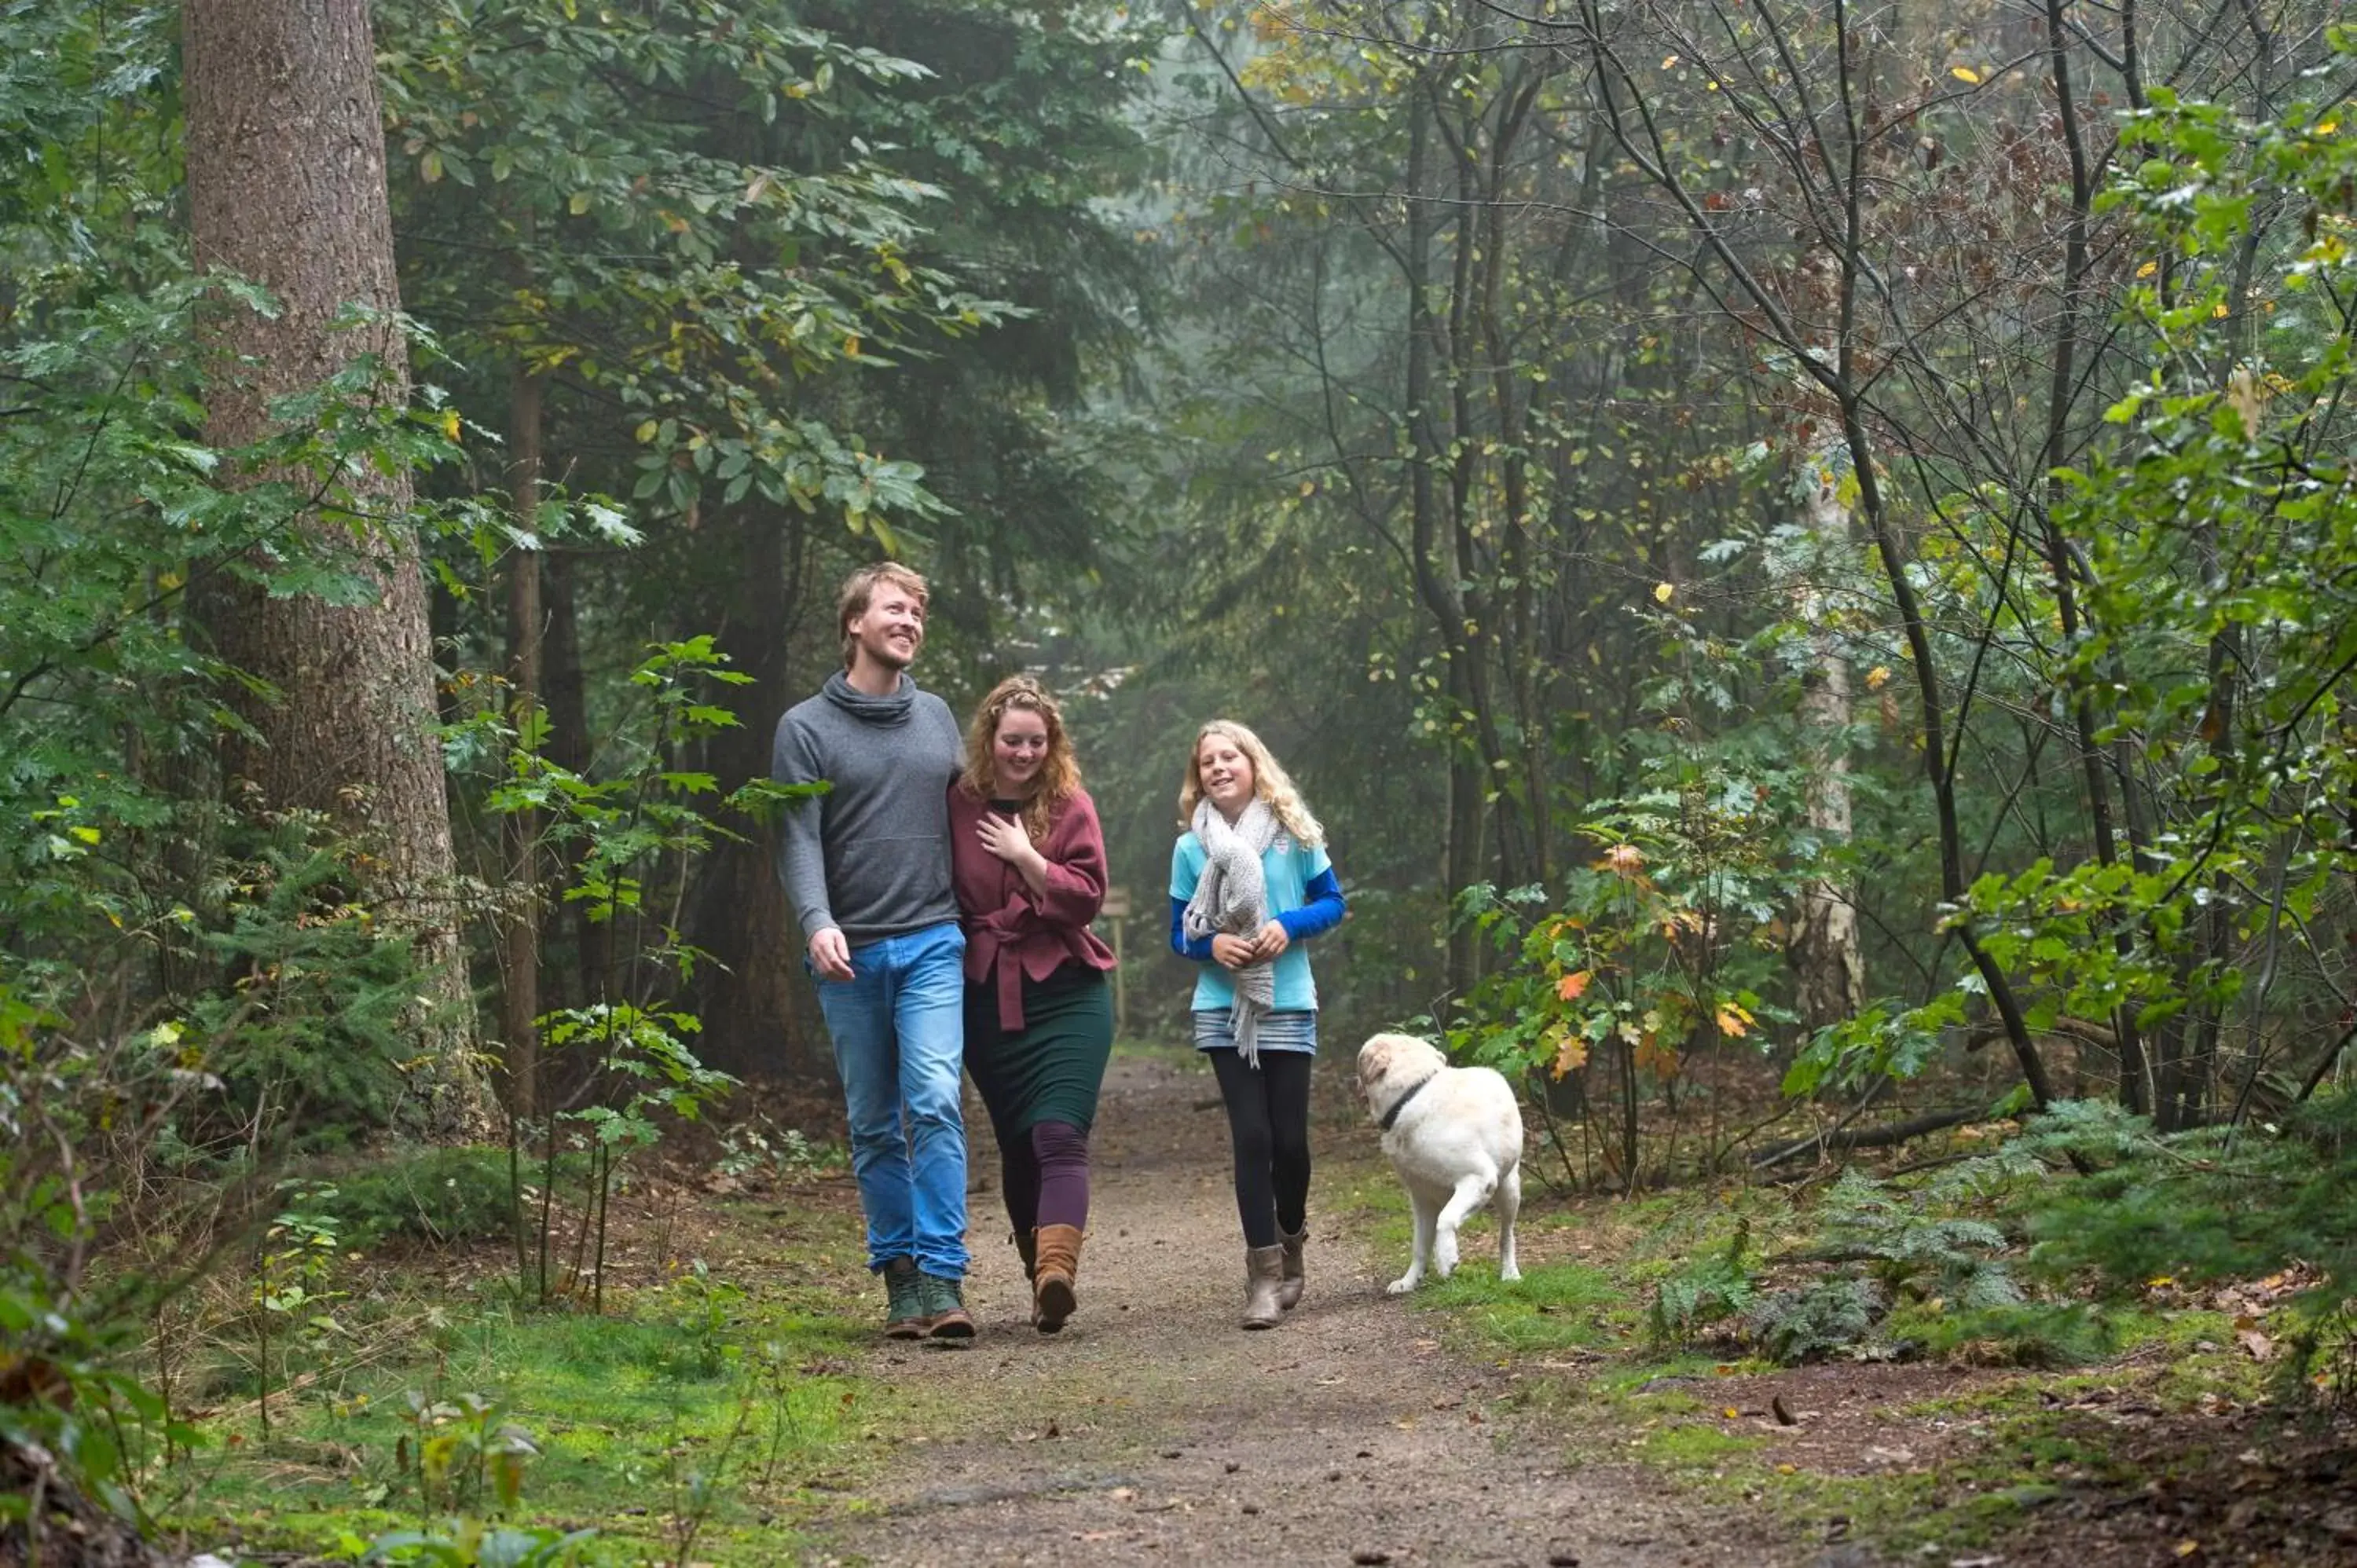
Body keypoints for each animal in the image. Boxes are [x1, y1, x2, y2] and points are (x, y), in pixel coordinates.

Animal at [1367, 1032, 1527, 1291]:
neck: (1412, 1093)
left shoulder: (1479, 1178)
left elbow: (1446, 1220)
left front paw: (1446, 1260)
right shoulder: (1422, 1198)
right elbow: (1420, 1245)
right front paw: (1409, 1281)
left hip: (1509, 1188)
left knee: (1506, 1236)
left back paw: (1510, 1273)